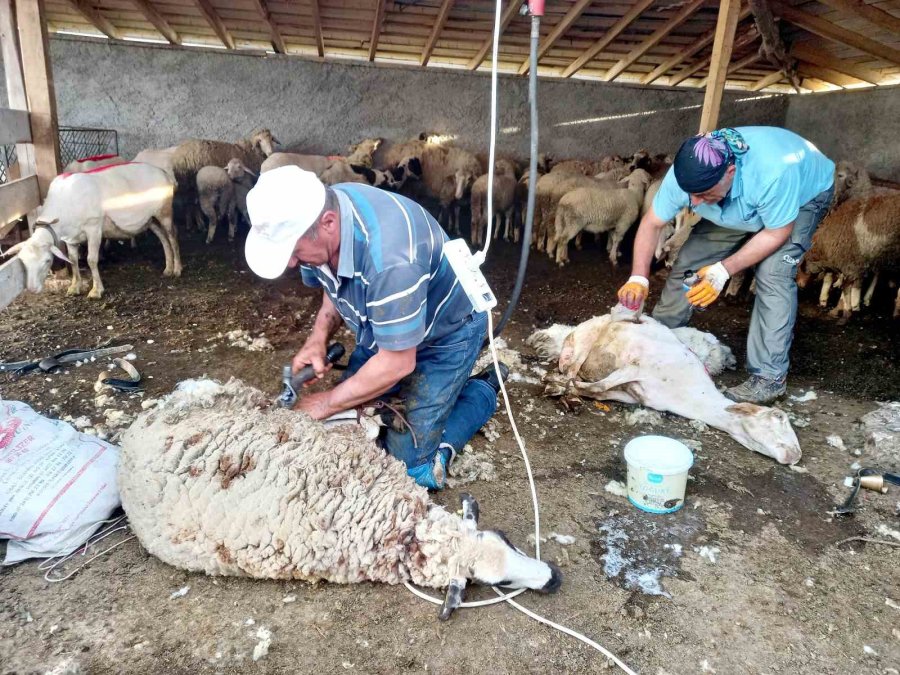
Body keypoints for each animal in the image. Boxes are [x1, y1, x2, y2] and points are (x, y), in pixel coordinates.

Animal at [3, 161, 181, 298]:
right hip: (150, 219)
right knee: (163, 238)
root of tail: (164, 173)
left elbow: (91, 260)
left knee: (172, 236)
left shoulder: (94, 228)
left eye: (47, 261)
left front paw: (96, 291)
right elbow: (73, 260)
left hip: (164, 211)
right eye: (23, 262)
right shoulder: (70, 238)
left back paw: (177, 269)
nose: (32, 290)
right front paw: (74, 287)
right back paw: (168, 268)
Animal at [528, 316, 800, 464]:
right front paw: (559, 386)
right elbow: (598, 385)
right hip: (585, 342)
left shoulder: (633, 393)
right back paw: (562, 388)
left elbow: (598, 391)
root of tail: (575, 330)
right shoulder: (637, 366)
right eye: (778, 417)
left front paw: (571, 390)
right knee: (571, 369)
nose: (795, 455)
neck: (691, 394)